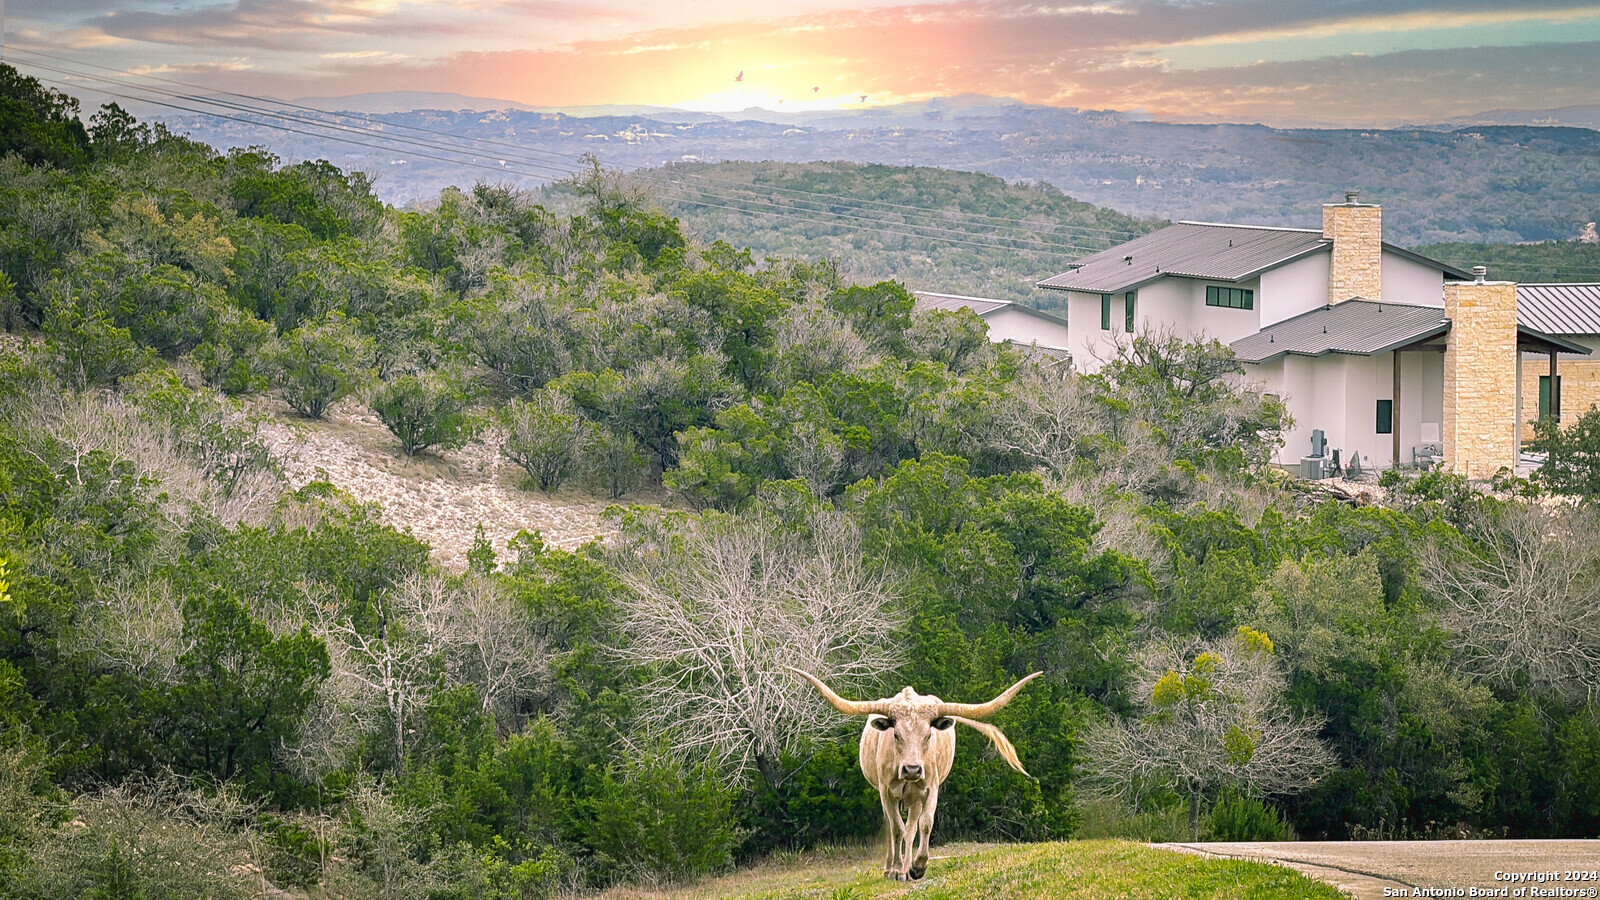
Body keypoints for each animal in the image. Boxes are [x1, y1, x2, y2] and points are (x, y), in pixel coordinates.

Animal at [784, 666, 1036, 877]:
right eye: (896, 735)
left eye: (928, 735)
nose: (912, 769)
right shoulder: (886, 791)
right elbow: (896, 828)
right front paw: (895, 869)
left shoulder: (931, 788)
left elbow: (925, 824)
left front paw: (917, 866)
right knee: (894, 825)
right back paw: (891, 867)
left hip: (915, 798)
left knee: (912, 826)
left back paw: (907, 867)